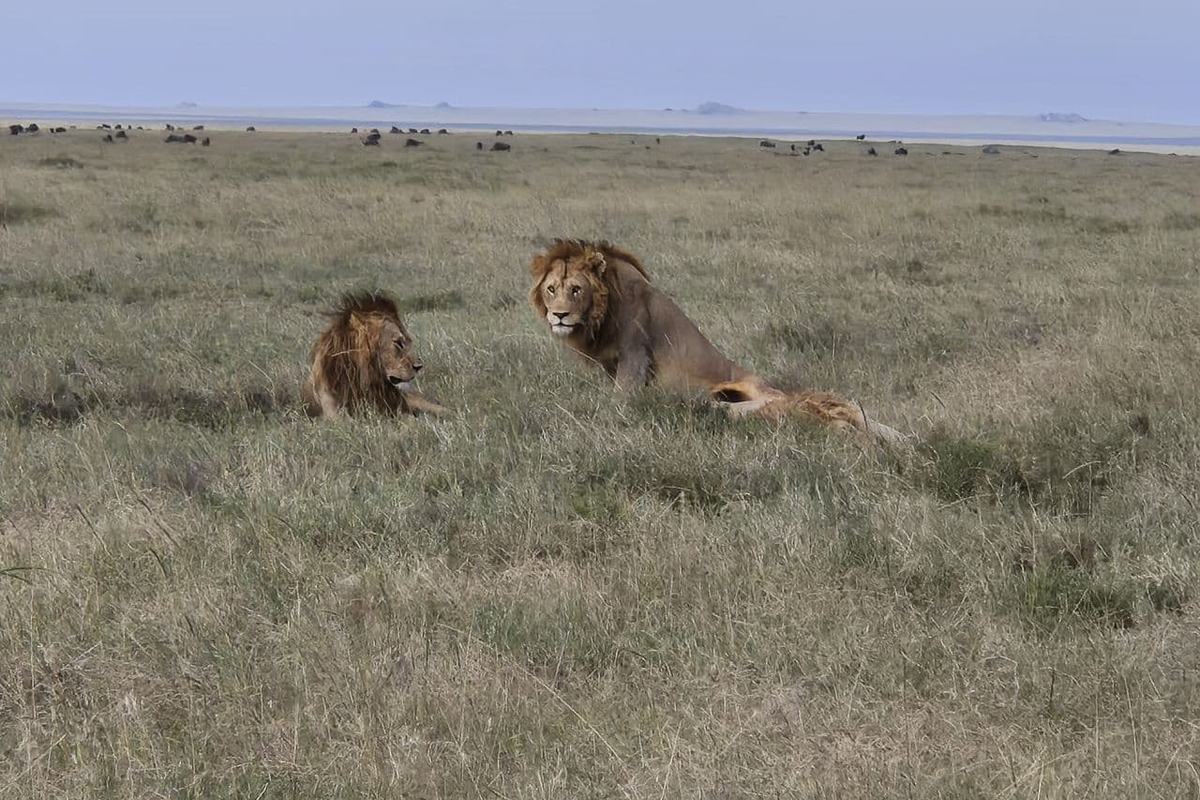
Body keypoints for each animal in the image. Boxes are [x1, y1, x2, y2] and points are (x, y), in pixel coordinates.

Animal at [529, 240, 907, 445]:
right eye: (551, 289)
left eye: (576, 290)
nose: (558, 316)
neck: (604, 310)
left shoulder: (635, 356)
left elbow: (618, 402)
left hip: (750, 395)